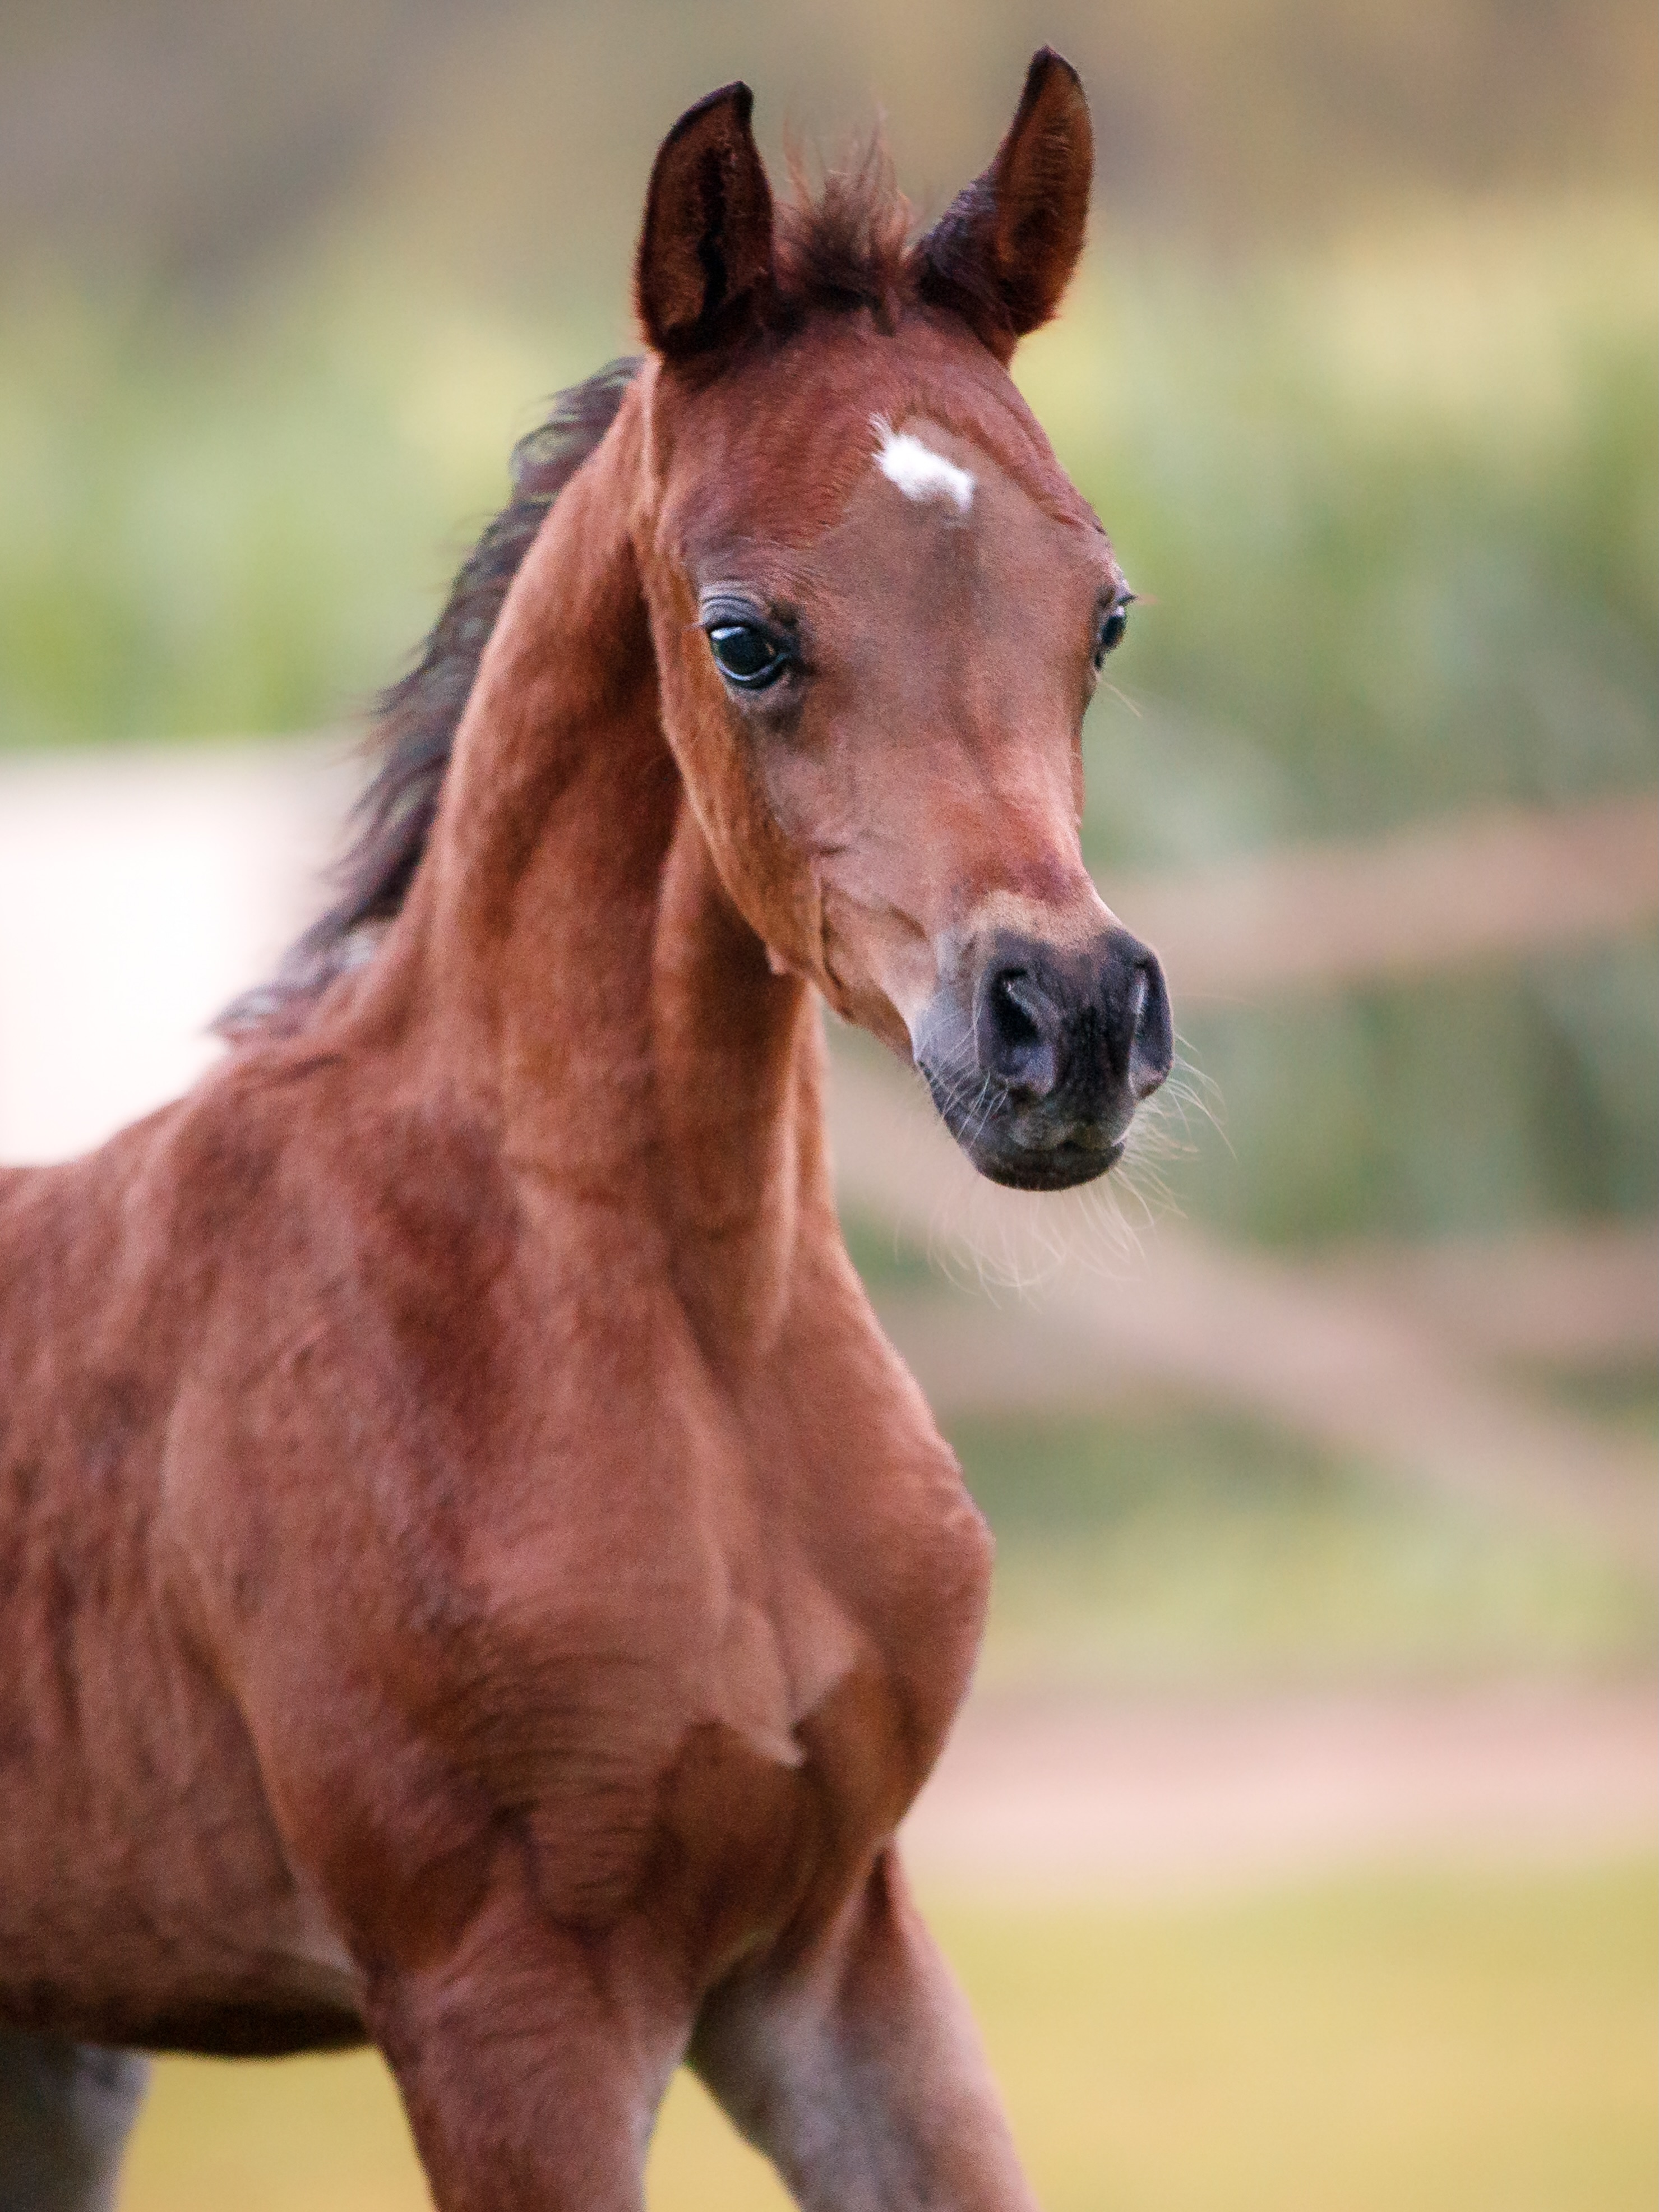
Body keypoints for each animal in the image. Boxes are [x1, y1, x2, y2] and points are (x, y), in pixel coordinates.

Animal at [0, 51, 1171, 2210]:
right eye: (742, 635)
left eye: (1105, 611)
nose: (1063, 1027)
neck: (674, 1326)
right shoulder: (509, 1999)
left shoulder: (832, 1942)